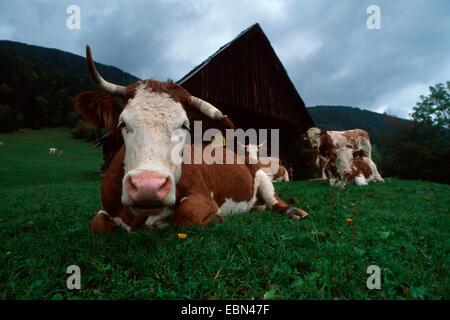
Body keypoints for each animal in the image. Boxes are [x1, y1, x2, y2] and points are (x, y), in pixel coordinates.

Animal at [76, 45, 310, 234]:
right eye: (122, 123)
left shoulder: (202, 195)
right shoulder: (105, 209)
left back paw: (293, 211)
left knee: (276, 202)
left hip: (263, 178)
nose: (148, 186)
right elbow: (97, 225)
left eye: (185, 125)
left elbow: (186, 213)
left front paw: (216, 218)